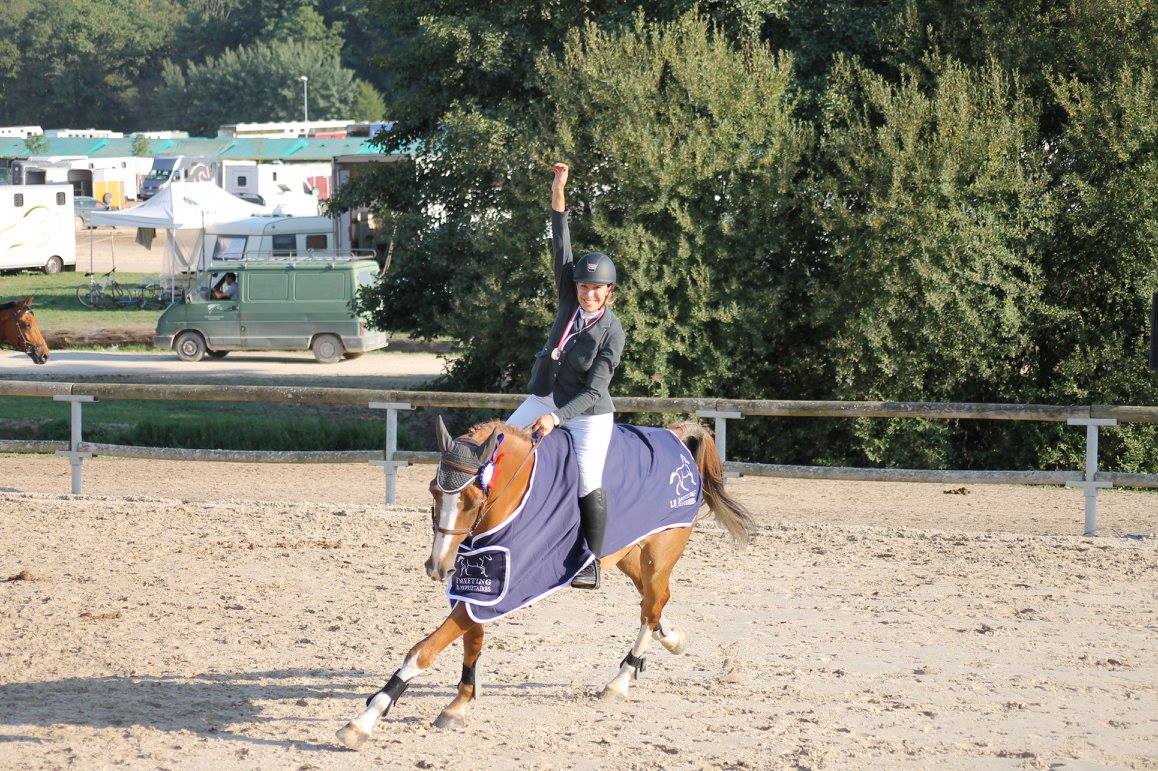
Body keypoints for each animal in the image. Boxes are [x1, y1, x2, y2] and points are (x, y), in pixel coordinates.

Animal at [338, 414, 750, 745]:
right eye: (433, 490)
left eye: (472, 500)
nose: (437, 567)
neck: (513, 496)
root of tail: (675, 435)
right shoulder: (481, 586)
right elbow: (473, 641)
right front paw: (460, 703)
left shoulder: (500, 588)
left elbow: (423, 650)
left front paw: (364, 720)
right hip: (630, 555)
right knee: (656, 602)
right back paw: (672, 642)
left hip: (658, 554)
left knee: (651, 607)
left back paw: (620, 681)